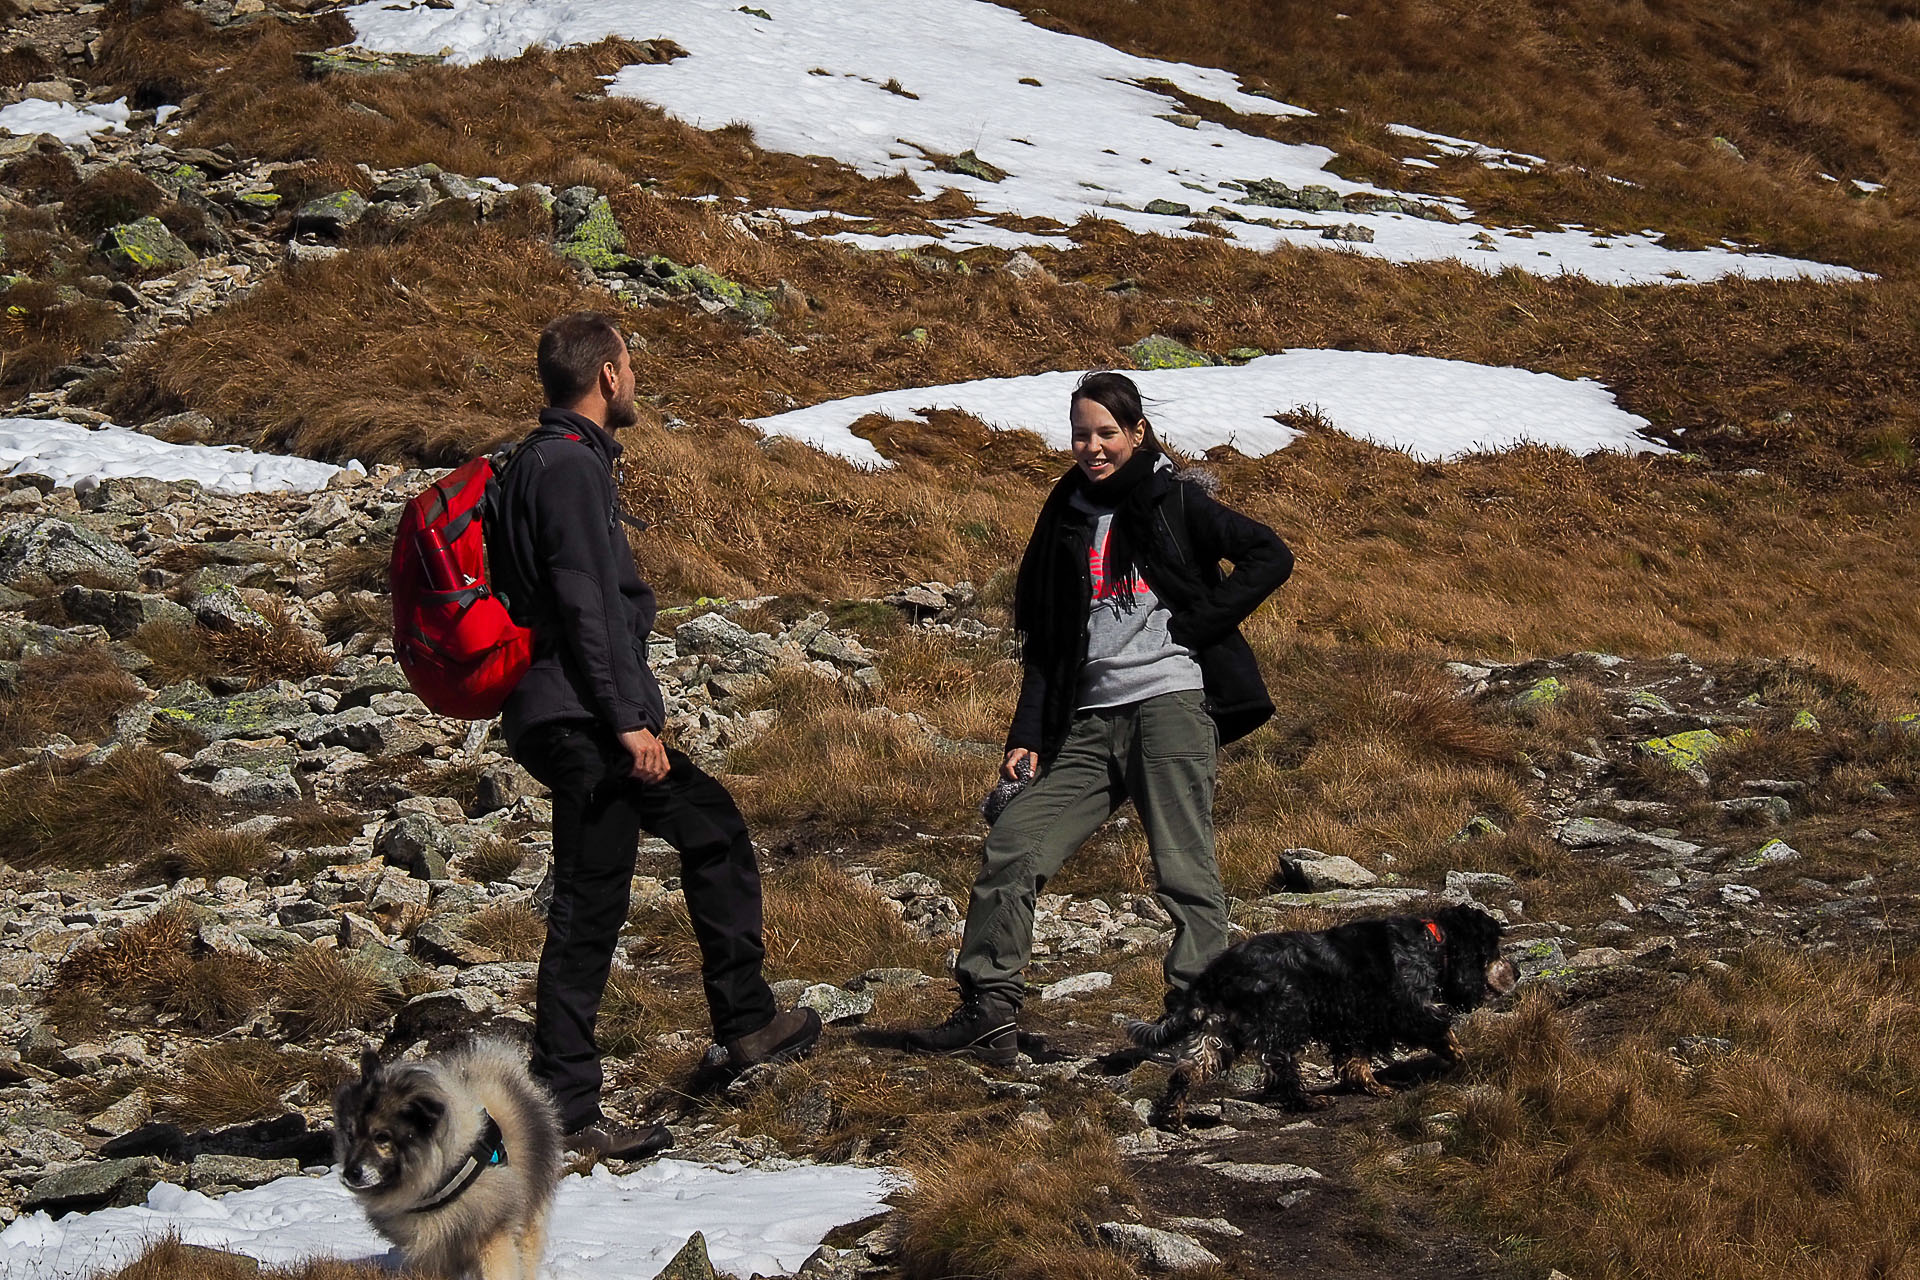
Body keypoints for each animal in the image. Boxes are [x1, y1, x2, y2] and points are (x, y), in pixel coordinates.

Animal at [1121, 905, 1512, 1128]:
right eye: (1494, 949)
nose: (1518, 972)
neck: (1433, 942)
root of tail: (1215, 973)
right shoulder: (1409, 1008)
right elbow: (1444, 1034)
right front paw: (1465, 1060)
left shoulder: (1355, 1021)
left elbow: (1356, 1059)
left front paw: (1372, 1086)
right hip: (1286, 1019)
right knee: (1281, 1068)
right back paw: (1307, 1101)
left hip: (1217, 1028)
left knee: (1187, 1070)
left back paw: (1173, 1117)